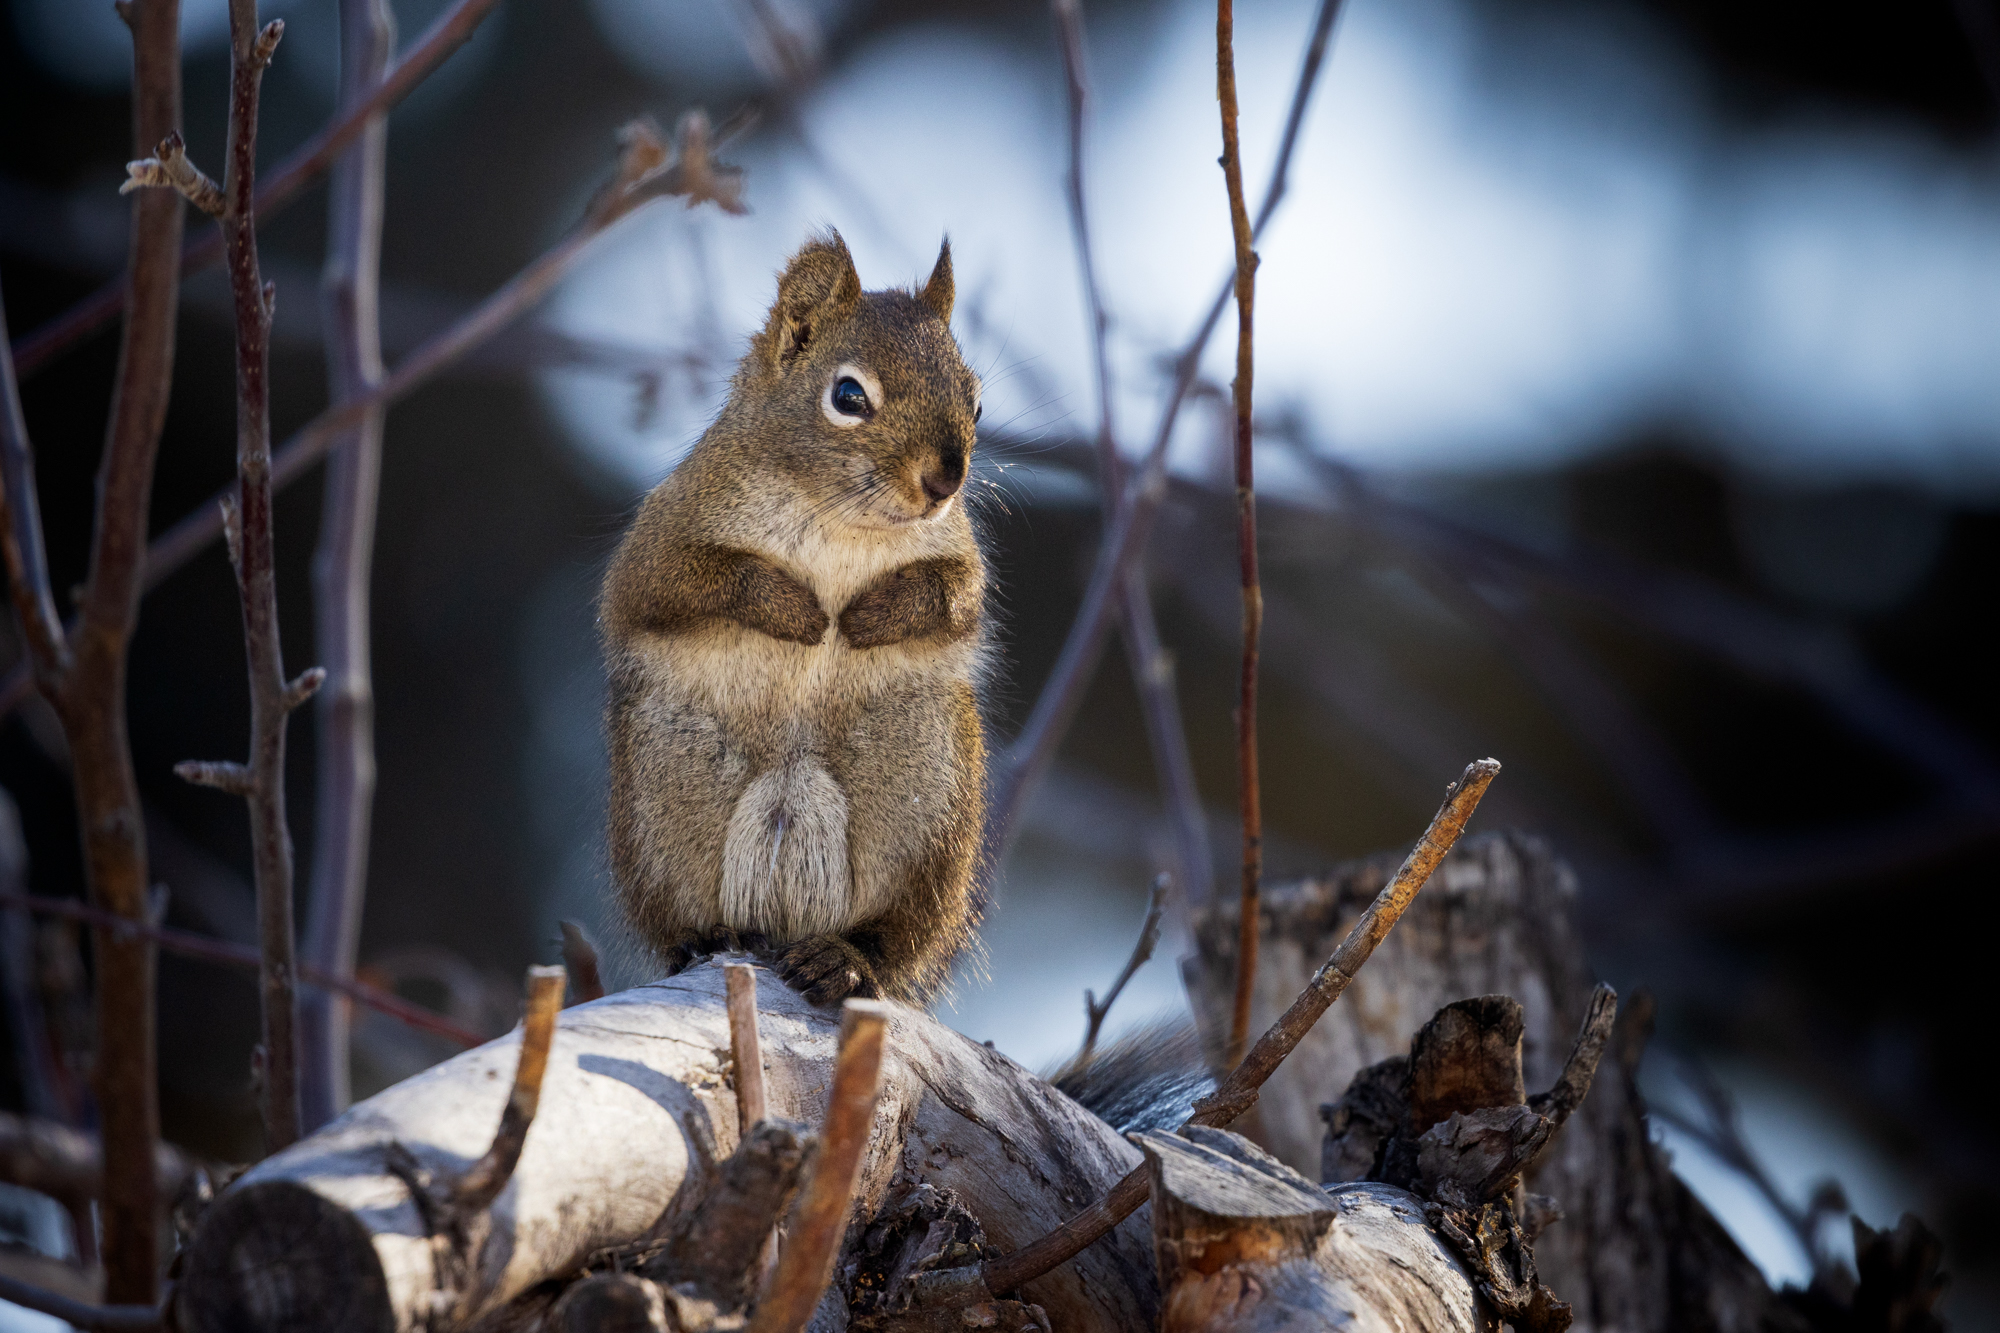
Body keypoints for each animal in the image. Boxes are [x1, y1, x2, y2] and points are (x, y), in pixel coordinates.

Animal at [600, 231, 989, 1007]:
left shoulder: (959, 556)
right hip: (658, 795)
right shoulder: (661, 540)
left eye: (978, 402)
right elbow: (681, 582)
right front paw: (798, 610)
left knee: (895, 939)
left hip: (929, 800)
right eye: (848, 396)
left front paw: (871, 614)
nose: (945, 481)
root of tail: (781, 923)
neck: (840, 518)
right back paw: (705, 937)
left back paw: (847, 959)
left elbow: (958, 596)